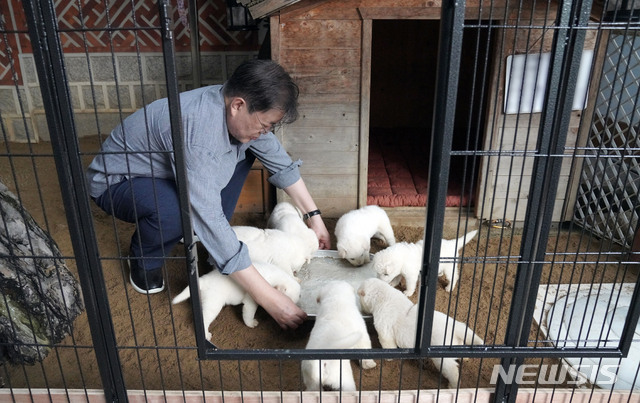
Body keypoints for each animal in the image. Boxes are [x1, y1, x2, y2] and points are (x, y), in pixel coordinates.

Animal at [170, 262, 300, 340]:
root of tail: (203, 281)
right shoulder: (251, 300)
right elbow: (249, 313)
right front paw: (251, 323)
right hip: (213, 304)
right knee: (205, 319)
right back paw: (206, 335)